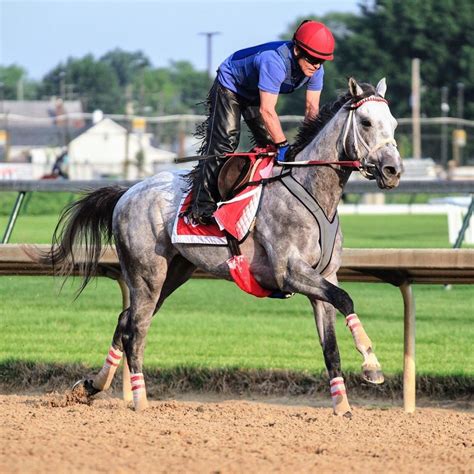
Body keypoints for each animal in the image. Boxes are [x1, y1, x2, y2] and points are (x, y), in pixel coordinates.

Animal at [48, 78, 402, 418]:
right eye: (367, 122)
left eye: (394, 123)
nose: (393, 170)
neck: (310, 187)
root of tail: (127, 192)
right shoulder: (289, 271)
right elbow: (345, 299)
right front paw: (372, 365)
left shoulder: (324, 276)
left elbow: (330, 344)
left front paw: (342, 406)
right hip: (147, 274)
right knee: (136, 330)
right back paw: (140, 400)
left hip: (173, 274)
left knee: (125, 320)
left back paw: (92, 386)